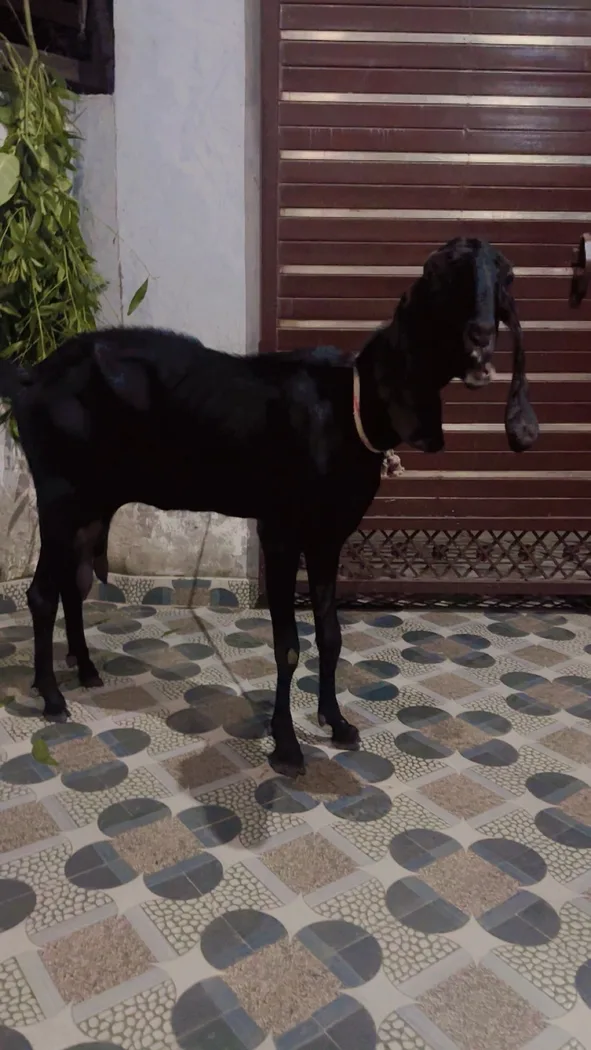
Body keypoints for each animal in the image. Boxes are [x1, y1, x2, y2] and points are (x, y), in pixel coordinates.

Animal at [0, 237, 539, 777]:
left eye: (506, 277)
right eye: (439, 276)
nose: (481, 336)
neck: (347, 407)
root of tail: (30, 376)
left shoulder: (328, 537)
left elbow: (330, 635)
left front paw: (336, 722)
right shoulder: (279, 533)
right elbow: (288, 647)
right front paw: (286, 744)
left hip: (93, 503)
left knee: (72, 583)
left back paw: (86, 668)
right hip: (60, 495)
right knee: (42, 593)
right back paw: (51, 697)